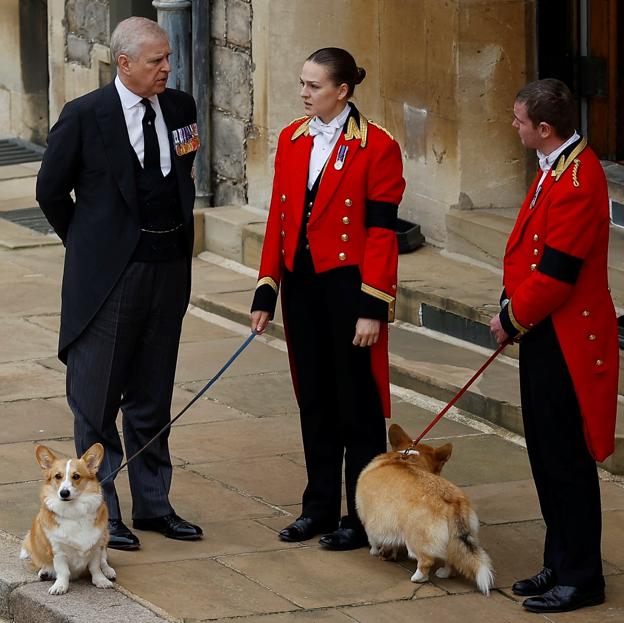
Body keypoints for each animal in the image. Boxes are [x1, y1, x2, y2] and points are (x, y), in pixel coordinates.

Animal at [19, 444, 116, 596]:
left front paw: (101, 580)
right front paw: (60, 586)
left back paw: (108, 571)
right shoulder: (58, 551)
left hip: (105, 537)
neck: (73, 511)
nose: (64, 493)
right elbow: (63, 571)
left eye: (76, 476)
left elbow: (95, 567)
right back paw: (45, 572)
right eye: (57, 476)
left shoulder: (96, 547)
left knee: (104, 559)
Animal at [356, 424, 492, 596]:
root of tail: (452, 502)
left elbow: (373, 539)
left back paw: (417, 577)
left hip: (415, 539)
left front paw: (374, 551)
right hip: (456, 538)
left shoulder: (371, 518)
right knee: (451, 558)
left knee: (426, 561)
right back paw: (444, 573)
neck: (407, 458)